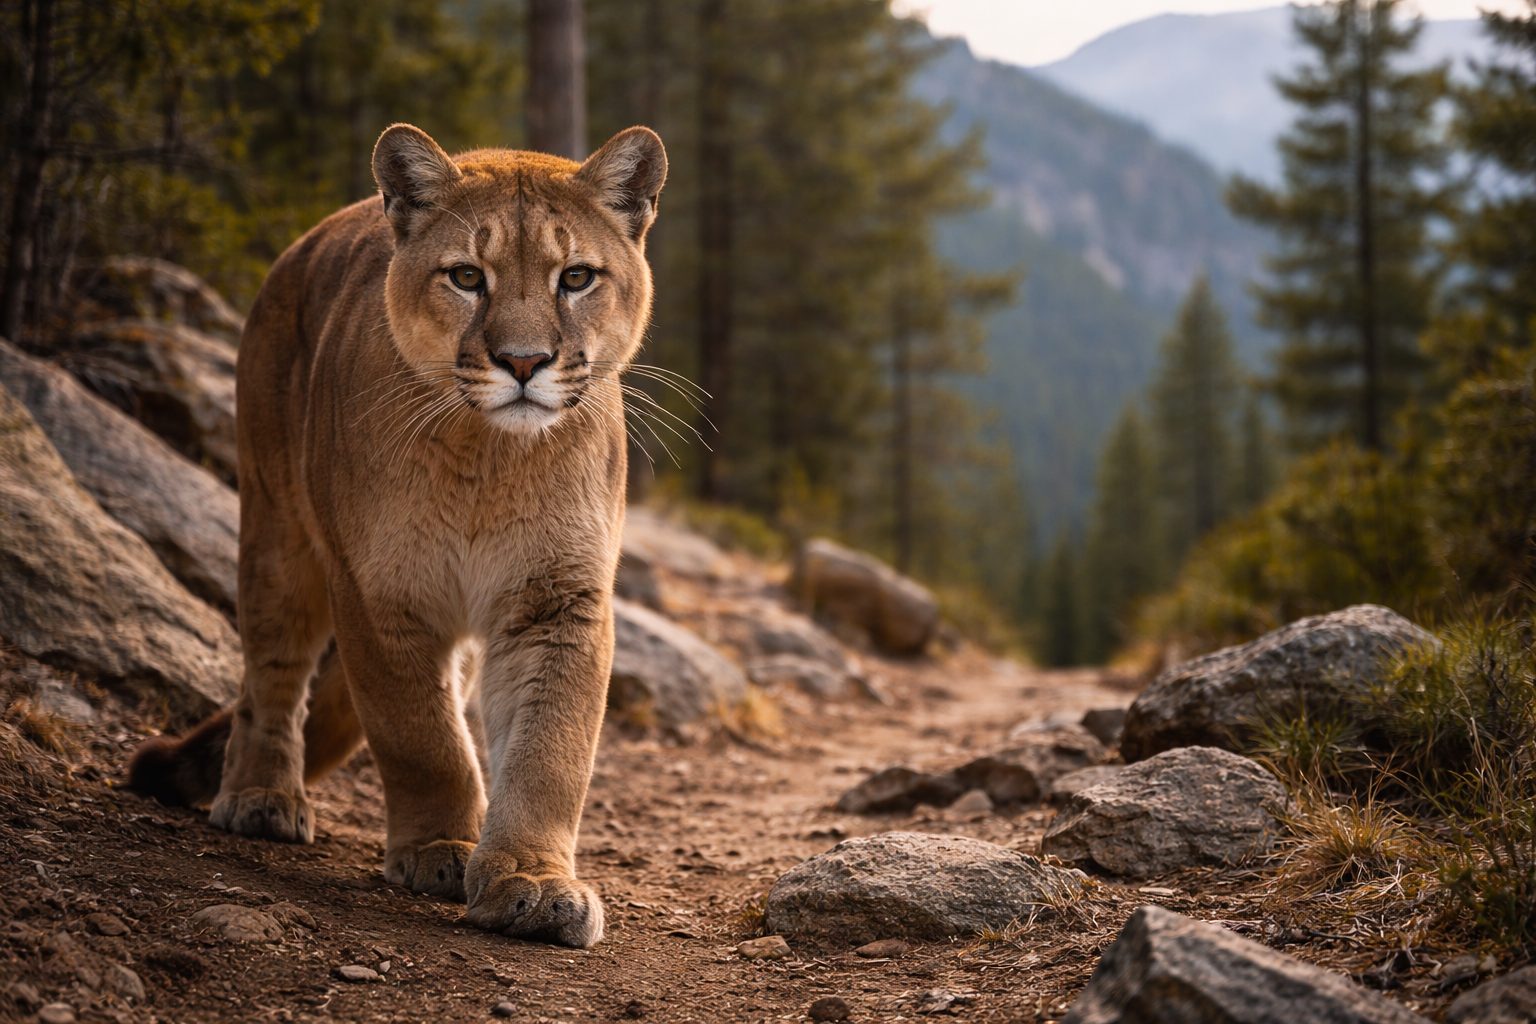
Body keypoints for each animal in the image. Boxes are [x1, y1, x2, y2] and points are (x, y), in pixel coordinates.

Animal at [128, 123, 668, 948]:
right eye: (466, 276)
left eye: (576, 277)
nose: (523, 361)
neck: (489, 459)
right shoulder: (378, 593)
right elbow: (421, 735)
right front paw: (441, 847)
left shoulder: (557, 600)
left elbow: (549, 749)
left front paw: (532, 881)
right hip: (277, 534)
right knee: (272, 674)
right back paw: (259, 796)